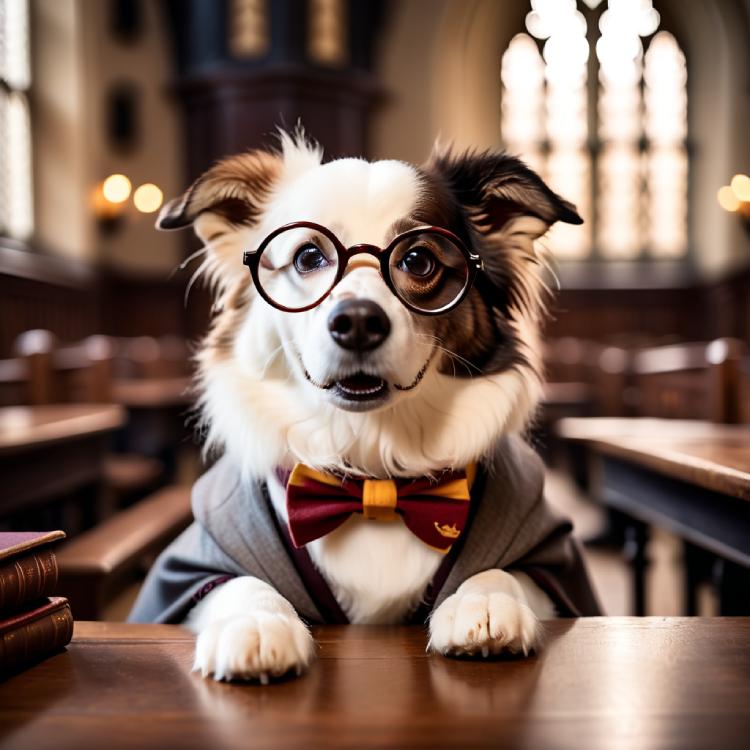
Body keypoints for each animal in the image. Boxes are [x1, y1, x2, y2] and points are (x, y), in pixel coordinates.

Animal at [128, 128, 600, 680]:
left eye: (418, 261)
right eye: (308, 257)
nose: (356, 321)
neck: (374, 467)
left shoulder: (548, 550)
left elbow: (508, 570)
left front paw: (484, 600)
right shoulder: (199, 558)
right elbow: (236, 582)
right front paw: (258, 622)